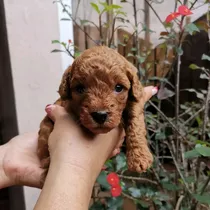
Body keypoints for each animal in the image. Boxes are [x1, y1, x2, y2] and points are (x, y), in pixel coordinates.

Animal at [37, 46, 153, 182]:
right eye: (80, 88)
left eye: (119, 87)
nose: (100, 115)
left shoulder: (135, 98)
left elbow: (136, 121)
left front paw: (139, 157)